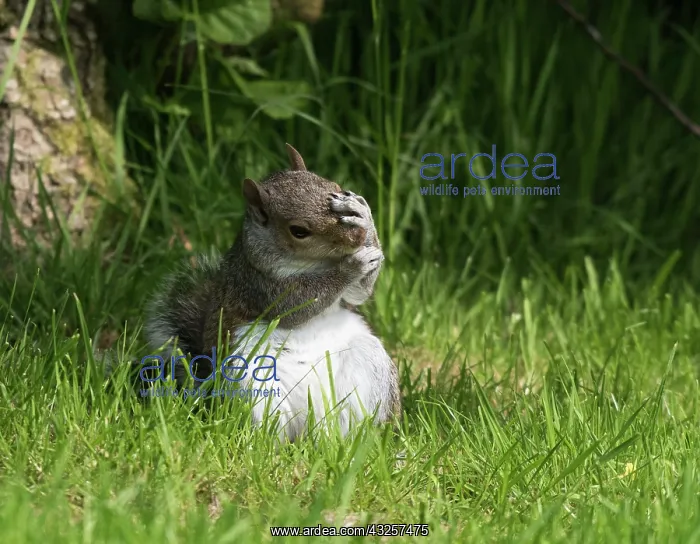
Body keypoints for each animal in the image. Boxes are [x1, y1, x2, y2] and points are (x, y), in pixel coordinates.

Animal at [144, 144, 401, 442]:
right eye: (299, 231)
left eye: (336, 189)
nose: (357, 238)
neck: (317, 262)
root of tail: (308, 427)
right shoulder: (258, 284)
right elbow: (295, 305)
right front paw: (351, 266)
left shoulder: (347, 297)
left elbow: (358, 293)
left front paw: (363, 215)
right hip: (249, 377)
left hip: (368, 365)